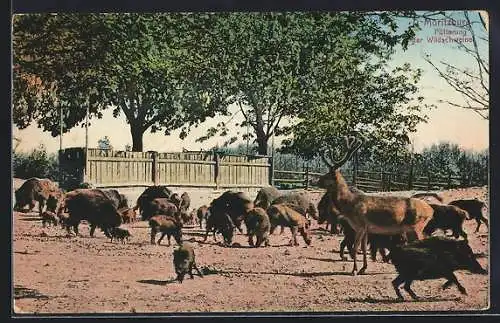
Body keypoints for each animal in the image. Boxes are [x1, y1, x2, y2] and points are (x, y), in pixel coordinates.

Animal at [318, 136, 436, 276]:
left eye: (327, 175)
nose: (316, 181)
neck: (350, 205)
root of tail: (431, 211)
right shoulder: (366, 228)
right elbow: (363, 247)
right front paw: (363, 268)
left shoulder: (360, 225)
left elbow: (355, 247)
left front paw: (354, 270)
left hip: (416, 225)